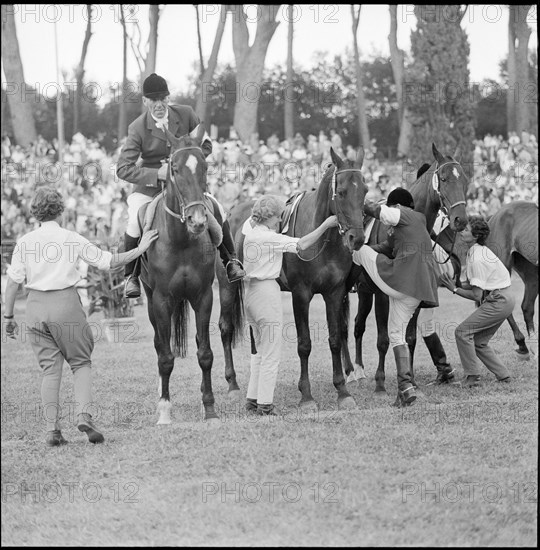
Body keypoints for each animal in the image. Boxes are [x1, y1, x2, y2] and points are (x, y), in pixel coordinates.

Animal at [139, 126, 243, 426]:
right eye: (173, 168)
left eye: (205, 167)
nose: (198, 221)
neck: (181, 240)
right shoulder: (161, 300)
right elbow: (165, 356)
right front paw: (164, 410)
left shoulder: (203, 296)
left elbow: (205, 353)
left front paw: (209, 408)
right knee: (159, 344)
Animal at [350, 144, 468, 394]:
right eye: (444, 178)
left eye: (464, 179)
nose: (460, 220)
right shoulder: (382, 294)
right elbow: (383, 339)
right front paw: (381, 383)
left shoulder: (414, 293)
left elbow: (410, 338)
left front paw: (410, 379)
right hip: (363, 291)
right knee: (355, 326)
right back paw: (354, 372)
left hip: (365, 291)